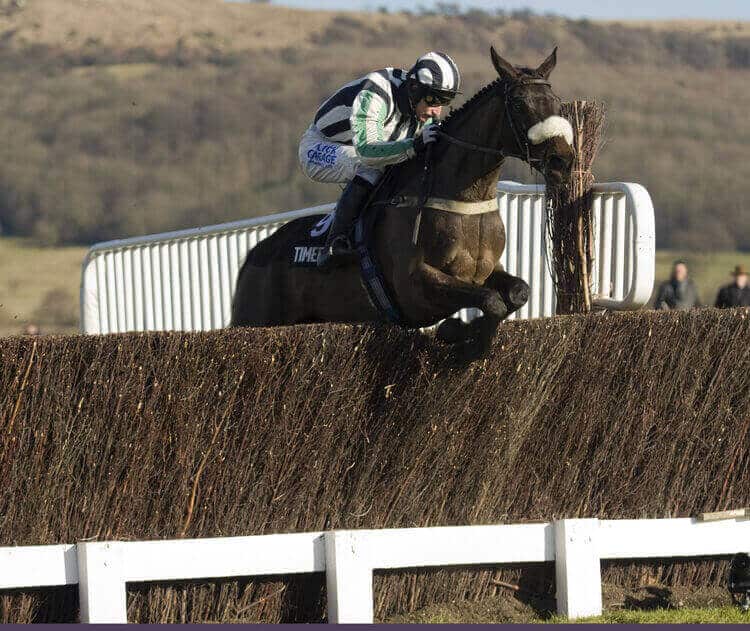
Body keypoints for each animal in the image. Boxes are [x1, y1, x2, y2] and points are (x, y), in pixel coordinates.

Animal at [232, 46, 572, 348]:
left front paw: (462, 332)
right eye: (519, 104)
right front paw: (461, 337)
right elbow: (492, 301)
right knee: (363, 167)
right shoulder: (416, 287)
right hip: (256, 316)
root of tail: (256, 253)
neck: (462, 197)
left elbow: (516, 292)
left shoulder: (485, 272)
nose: (562, 161)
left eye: (556, 102)